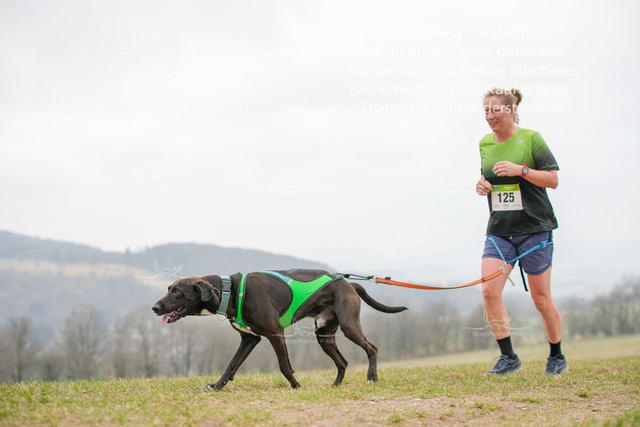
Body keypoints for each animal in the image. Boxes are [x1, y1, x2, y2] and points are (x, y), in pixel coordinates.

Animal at [152, 269, 407, 390]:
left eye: (177, 292)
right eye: (168, 288)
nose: (154, 308)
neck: (229, 290)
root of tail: (349, 282)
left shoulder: (275, 334)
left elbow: (284, 366)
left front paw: (296, 386)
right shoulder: (249, 339)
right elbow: (231, 365)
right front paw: (216, 386)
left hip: (349, 326)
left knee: (372, 348)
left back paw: (372, 377)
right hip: (323, 335)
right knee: (343, 362)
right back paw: (335, 386)